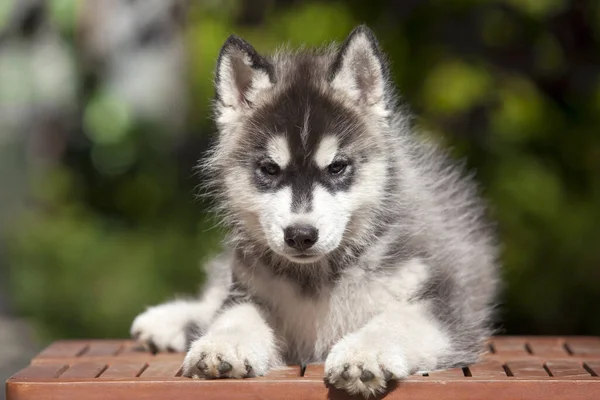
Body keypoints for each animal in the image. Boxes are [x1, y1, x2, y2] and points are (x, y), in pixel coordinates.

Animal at [131, 25, 496, 396]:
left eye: (336, 167)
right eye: (269, 169)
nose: (301, 235)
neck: (317, 277)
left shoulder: (444, 307)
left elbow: (397, 322)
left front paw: (363, 353)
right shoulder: (251, 292)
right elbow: (234, 316)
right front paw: (223, 343)